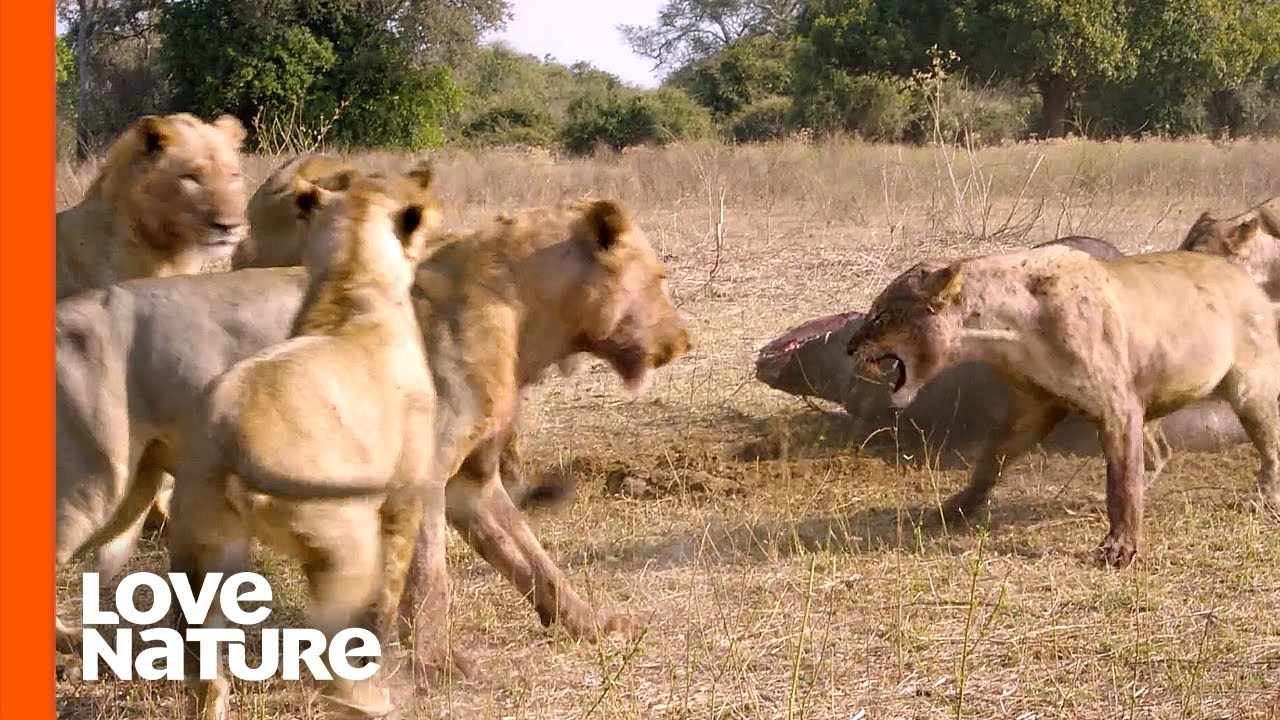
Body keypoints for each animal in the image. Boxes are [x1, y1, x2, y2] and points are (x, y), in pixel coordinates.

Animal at [55, 189, 690, 680]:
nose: (684, 342)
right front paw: (437, 665)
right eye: (660, 278)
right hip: (96, 481)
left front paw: (593, 624)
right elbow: (430, 579)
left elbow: (531, 557)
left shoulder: (471, 483)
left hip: (134, 488)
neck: (526, 317)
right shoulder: (425, 476)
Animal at [169, 168, 442, 720]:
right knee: (332, 648)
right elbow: (388, 596)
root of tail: (231, 430)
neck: (351, 279)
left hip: (203, 548)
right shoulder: (404, 497)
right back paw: (370, 700)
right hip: (347, 543)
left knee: (203, 658)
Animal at [846, 246, 1280, 568]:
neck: (1001, 333)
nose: (849, 347)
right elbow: (991, 459)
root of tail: (1248, 280)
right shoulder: (1035, 406)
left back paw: (1264, 496)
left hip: (1249, 389)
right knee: (1160, 453)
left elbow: (1121, 481)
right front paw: (954, 510)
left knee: (1269, 445)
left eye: (880, 316)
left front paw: (1120, 547)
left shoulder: (1118, 405)